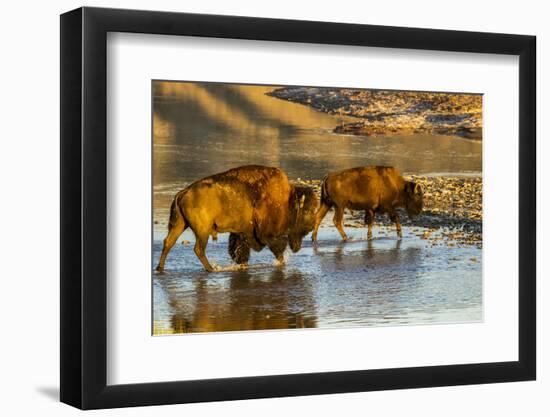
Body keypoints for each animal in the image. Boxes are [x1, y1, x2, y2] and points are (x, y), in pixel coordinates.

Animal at [155, 164, 320, 272]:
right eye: (307, 211)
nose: (311, 226)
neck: (288, 200)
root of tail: (184, 192)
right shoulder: (267, 234)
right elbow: (278, 249)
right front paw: (282, 263)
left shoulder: (242, 232)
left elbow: (240, 252)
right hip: (202, 230)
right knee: (198, 249)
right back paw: (211, 269)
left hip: (179, 224)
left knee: (168, 242)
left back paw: (160, 268)